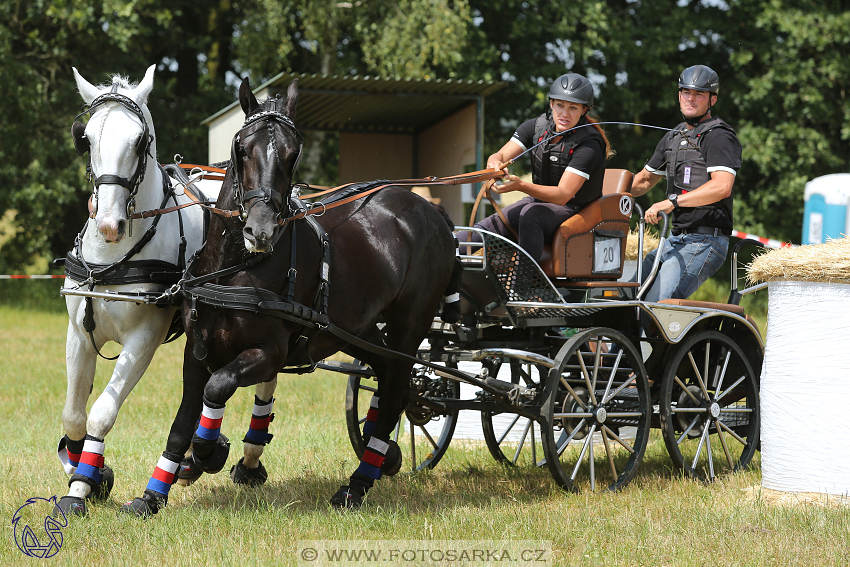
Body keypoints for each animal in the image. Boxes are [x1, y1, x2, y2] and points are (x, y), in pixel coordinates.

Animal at [56, 66, 220, 520]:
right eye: (86, 138)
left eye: (139, 140)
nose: (109, 224)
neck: (112, 256)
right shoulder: (79, 335)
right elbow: (74, 416)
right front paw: (92, 476)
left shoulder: (143, 340)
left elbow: (100, 413)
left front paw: (80, 489)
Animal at [121, 77, 458, 516]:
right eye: (241, 148)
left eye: (292, 153)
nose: (260, 230)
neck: (235, 267)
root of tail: (433, 212)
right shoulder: (196, 351)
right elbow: (182, 422)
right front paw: (152, 495)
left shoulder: (270, 353)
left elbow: (218, 389)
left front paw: (207, 453)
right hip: (358, 330)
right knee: (387, 379)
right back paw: (380, 454)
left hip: (409, 325)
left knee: (398, 386)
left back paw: (357, 484)